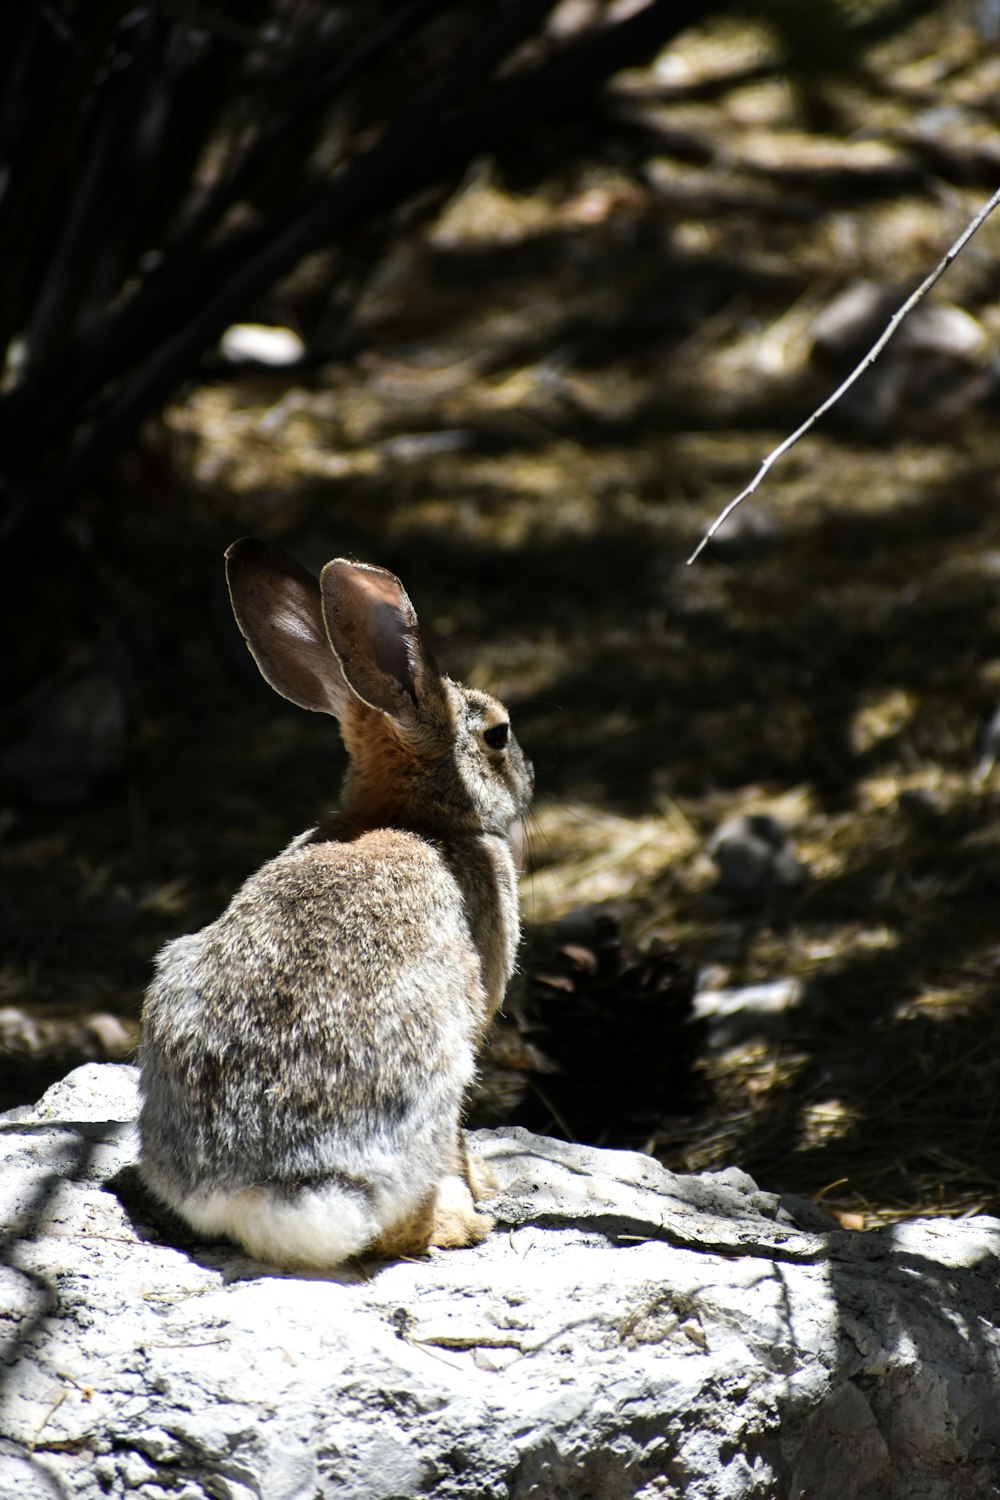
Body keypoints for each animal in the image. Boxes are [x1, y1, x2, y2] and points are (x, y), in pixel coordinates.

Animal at [138, 540, 539, 1266]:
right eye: (497, 734)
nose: (531, 774)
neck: (414, 815)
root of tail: (263, 1191)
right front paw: (485, 1182)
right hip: (435, 1068)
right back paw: (459, 1220)